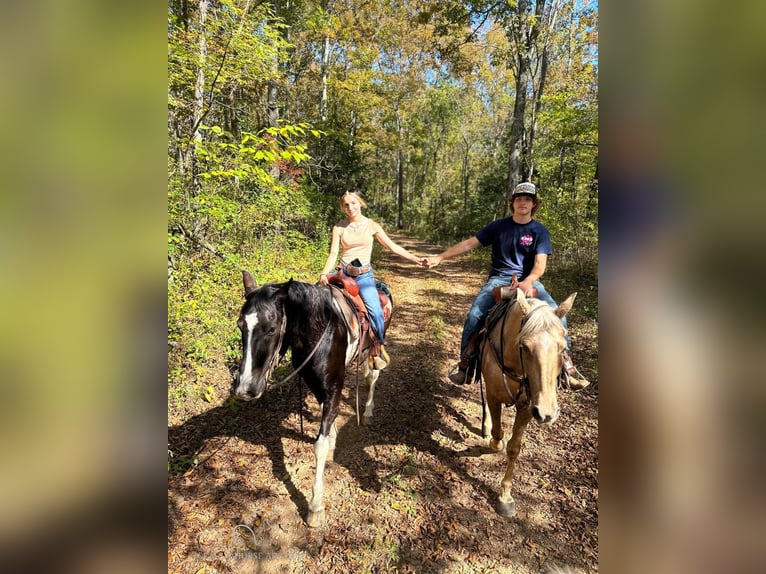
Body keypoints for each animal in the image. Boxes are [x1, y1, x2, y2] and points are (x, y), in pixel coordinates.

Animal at [232, 272, 390, 528]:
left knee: (372, 375)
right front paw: (333, 433)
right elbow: (327, 412)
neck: (319, 332)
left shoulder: (334, 385)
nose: (244, 388)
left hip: (370, 350)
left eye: (272, 328)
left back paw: (367, 412)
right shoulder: (315, 383)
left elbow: (320, 446)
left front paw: (315, 507)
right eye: (240, 326)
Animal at [480, 290, 576, 520]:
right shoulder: (494, 396)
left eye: (563, 348)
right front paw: (495, 443)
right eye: (524, 346)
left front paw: (505, 496)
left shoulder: (529, 407)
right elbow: (498, 432)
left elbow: (514, 448)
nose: (548, 414)